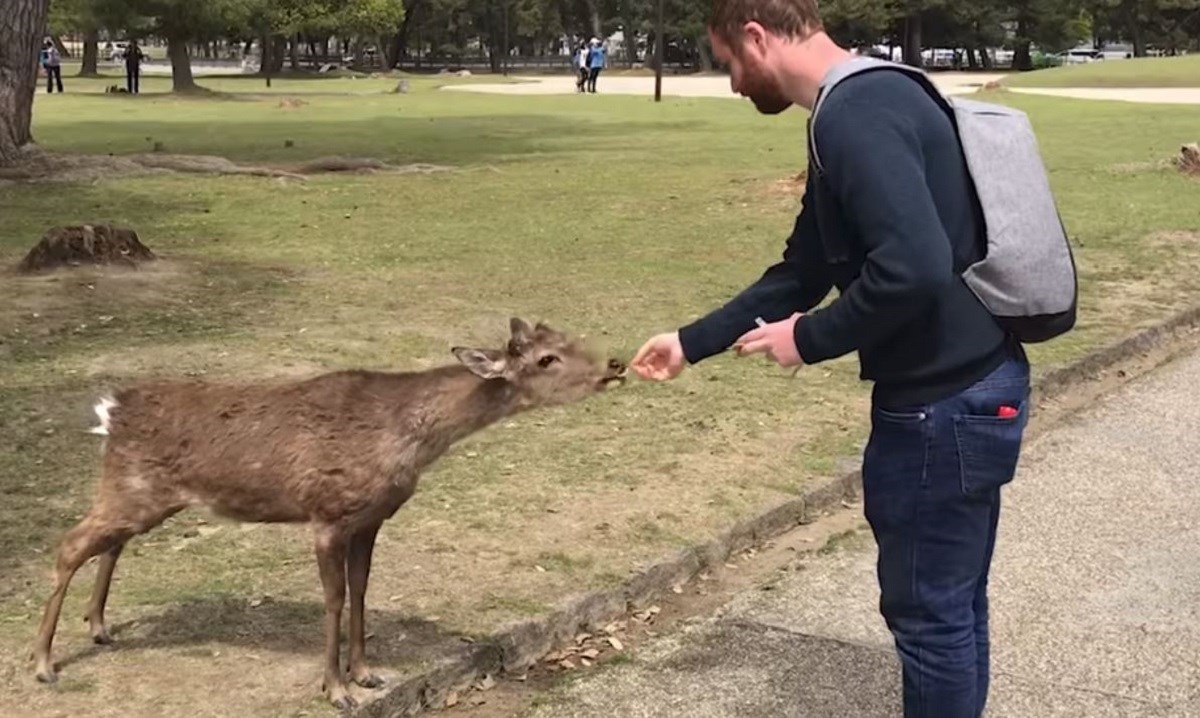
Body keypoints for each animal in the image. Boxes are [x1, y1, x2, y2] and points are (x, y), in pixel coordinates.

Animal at [30, 321, 628, 715]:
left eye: (571, 338)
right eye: (546, 358)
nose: (615, 366)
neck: (409, 443)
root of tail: (111, 412)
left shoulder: (372, 518)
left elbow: (362, 588)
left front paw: (365, 673)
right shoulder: (327, 514)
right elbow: (335, 598)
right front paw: (335, 689)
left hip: (144, 498)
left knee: (109, 544)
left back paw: (100, 627)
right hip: (131, 490)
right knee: (68, 545)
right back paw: (44, 663)